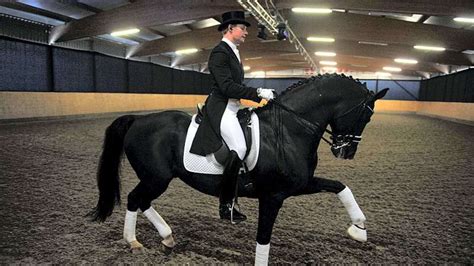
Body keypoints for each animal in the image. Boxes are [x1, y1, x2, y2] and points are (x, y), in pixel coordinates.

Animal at [89, 73, 388, 264]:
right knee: (134, 199)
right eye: (366, 115)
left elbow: (340, 186)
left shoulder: (300, 184)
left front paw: (359, 229)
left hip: (157, 178)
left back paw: (167, 237)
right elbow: (264, 236)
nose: (345, 152)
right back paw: (134, 242)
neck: (288, 130)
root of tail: (138, 120)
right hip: (156, 178)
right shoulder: (273, 195)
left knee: (142, 201)